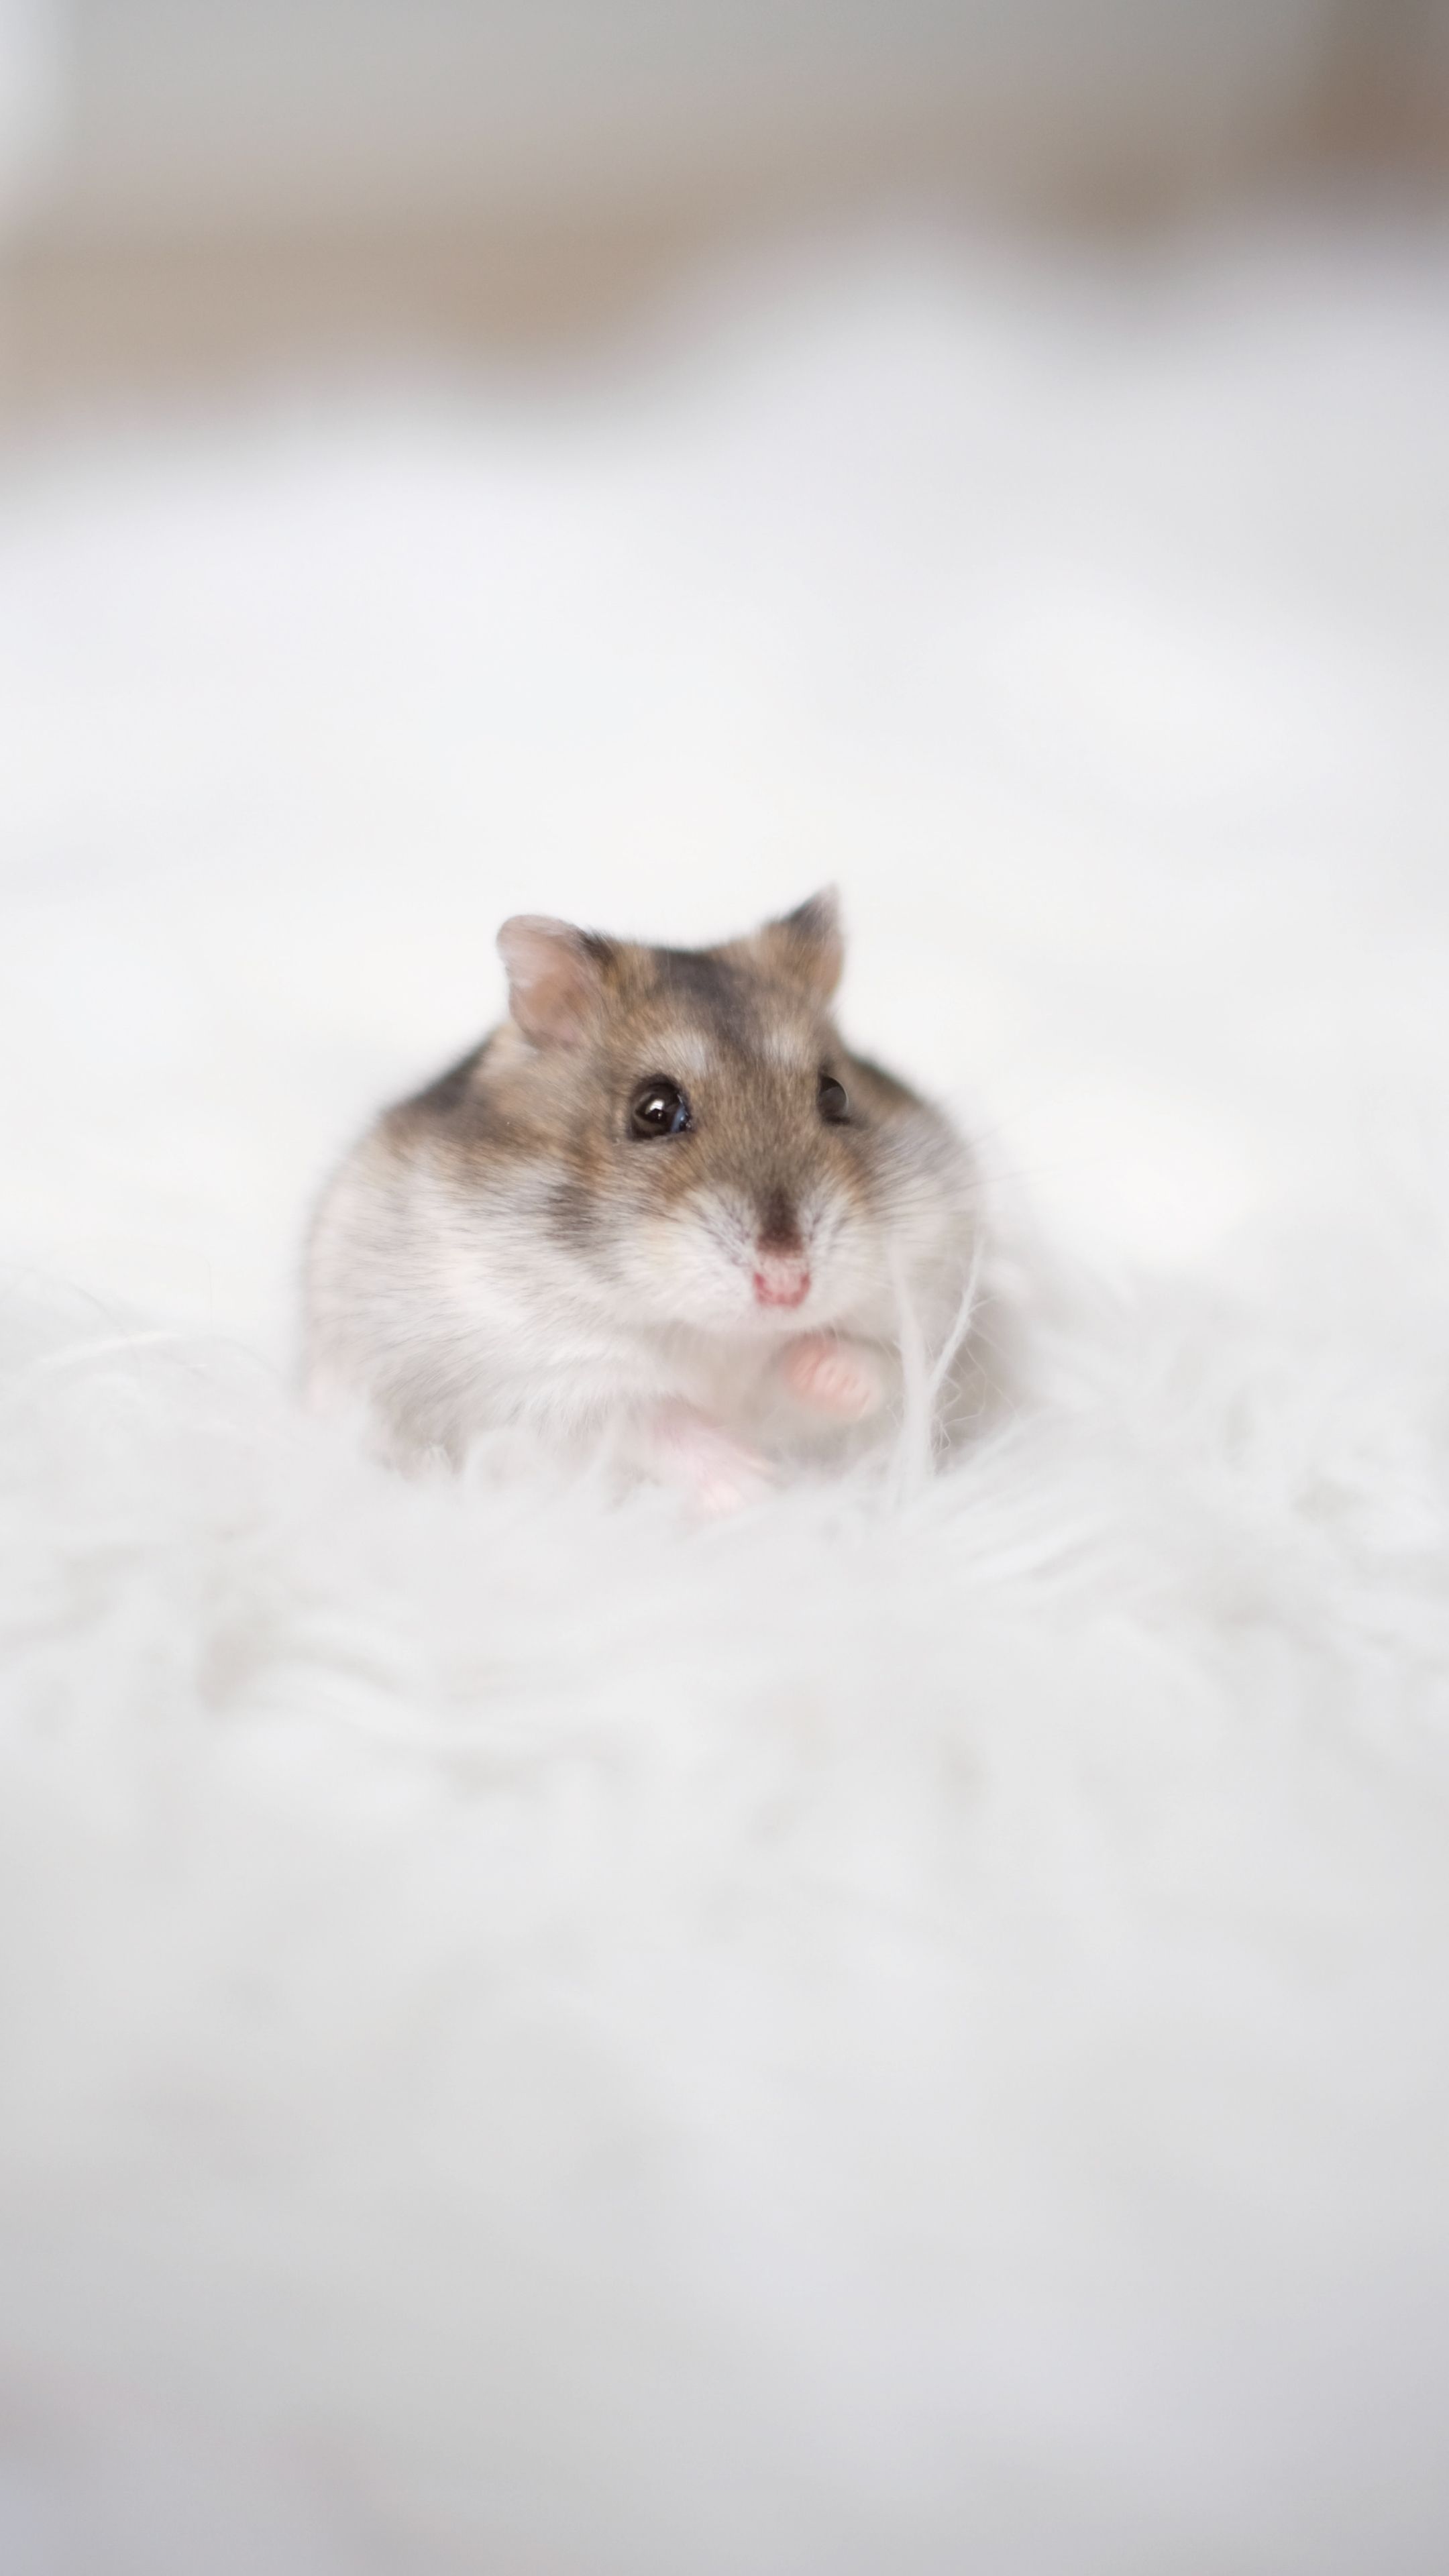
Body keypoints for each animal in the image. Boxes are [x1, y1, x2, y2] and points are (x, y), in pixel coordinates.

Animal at [304, 892, 990, 1507]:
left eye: (836, 1095)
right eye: (654, 1111)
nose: (787, 1286)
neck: (713, 1333)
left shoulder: (935, 1313)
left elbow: (877, 1368)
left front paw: (813, 1368)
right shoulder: (533, 1381)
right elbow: (645, 1418)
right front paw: (752, 1484)